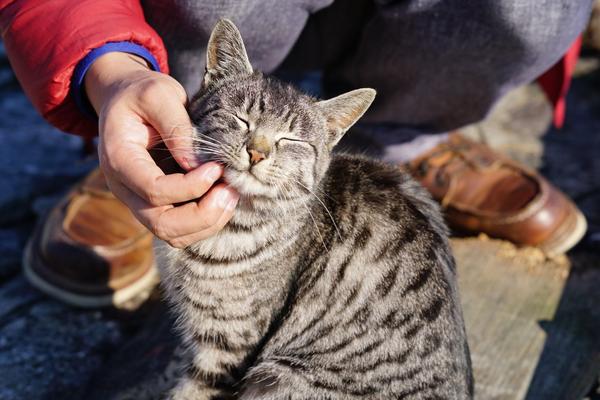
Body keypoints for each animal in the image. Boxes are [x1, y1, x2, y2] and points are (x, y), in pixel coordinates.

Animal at [157, 18, 476, 400]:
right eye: (241, 119)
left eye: (290, 140)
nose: (257, 152)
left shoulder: (226, 347)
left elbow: (192, 391)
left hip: (277, 376)